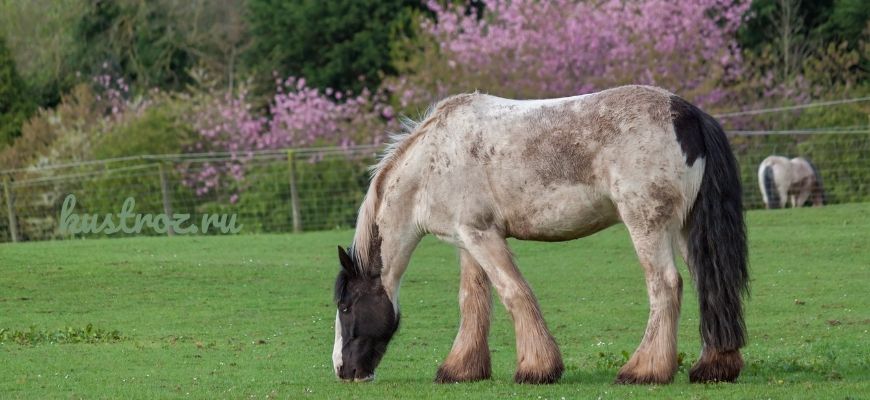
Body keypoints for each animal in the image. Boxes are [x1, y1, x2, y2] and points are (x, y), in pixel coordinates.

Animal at [332, 86, 748, 386]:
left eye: (346, 306)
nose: (342, 370)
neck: (433, 160)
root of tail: (687, 114)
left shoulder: (481, 235)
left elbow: (514, 293)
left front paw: (537, 368)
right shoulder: (468, 240)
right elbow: (473, 302)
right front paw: (461, 369)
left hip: (646, 224)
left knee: (666, 286)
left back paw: (644, 371)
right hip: (686, 229)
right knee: (709, 287)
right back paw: (714, 368)